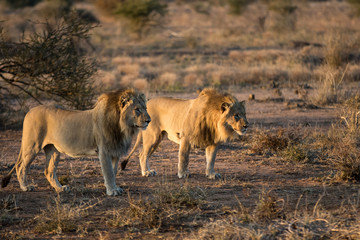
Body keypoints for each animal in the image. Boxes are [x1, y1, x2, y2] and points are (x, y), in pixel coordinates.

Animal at [1, 88, 150, 195]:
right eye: (137, 109)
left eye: (146, 108)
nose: (149, 120)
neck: (123, 127)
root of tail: (29, 111)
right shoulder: (105, 151)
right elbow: (108, 172)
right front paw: (112, 191)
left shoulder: (115, 152)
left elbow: (113, 172)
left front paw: (115, 188)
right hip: (32, 146)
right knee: (21, 166)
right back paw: (25, 187)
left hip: (53, 150)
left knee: (48, 171)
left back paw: (61, 189)